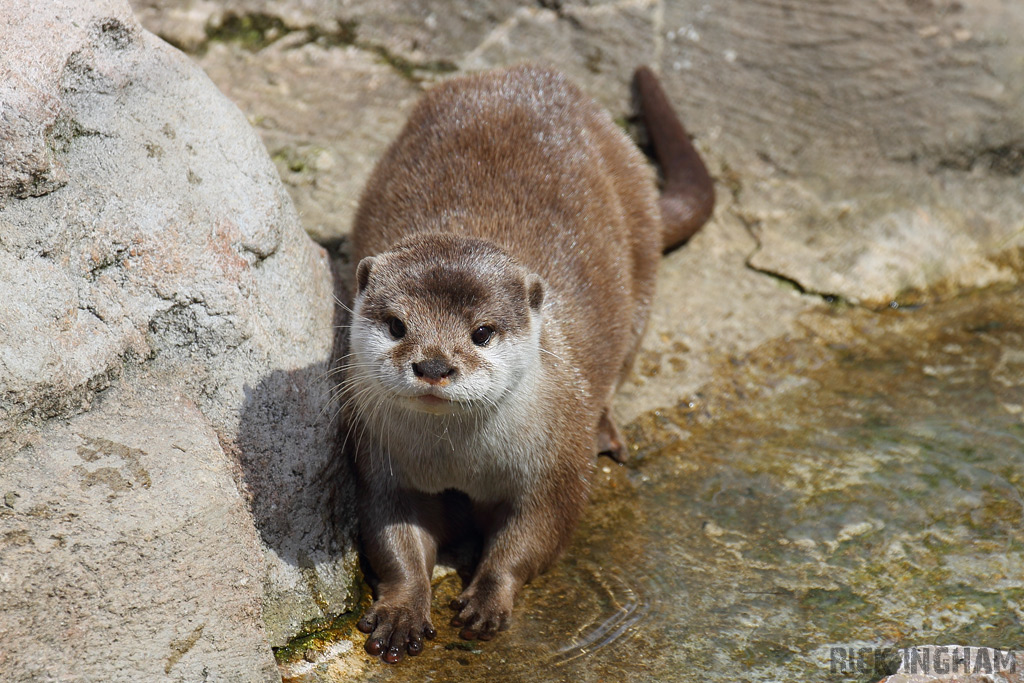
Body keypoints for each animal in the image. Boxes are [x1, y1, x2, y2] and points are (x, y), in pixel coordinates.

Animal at [342, 63, 712, 663]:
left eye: (482, 333)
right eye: (397, 326)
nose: (434, 366)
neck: (459, 461)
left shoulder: (556, 460)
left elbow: (537, 532)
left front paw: (488, 599)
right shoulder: (380, 458)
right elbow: (392, 537)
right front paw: (402, 611)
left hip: (639, 251)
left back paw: (607, 428)